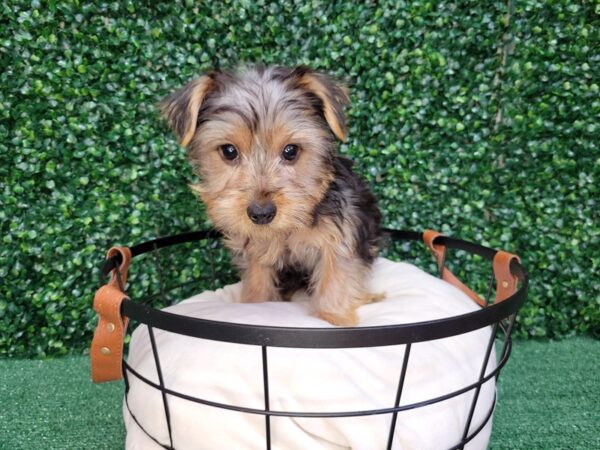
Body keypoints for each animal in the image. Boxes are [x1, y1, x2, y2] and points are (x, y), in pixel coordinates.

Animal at [162, 65, 382, 326]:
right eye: (229, 151)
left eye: (291, 151)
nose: (261, 213)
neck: (286, 230)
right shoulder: (256, 251)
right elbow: (257, 281)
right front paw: (256, 305)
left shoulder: (341, 234)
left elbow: (336, 275)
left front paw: (332, 318)